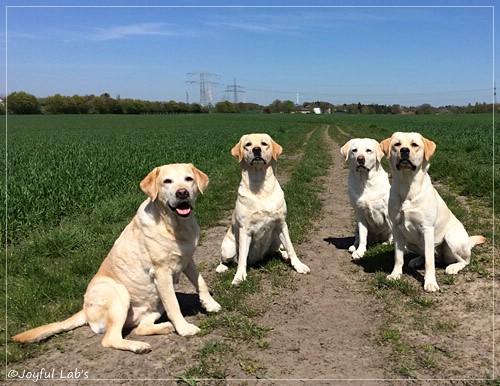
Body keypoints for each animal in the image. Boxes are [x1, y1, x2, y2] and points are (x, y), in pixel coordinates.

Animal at [13, 163, 221, 352]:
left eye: (189, 179)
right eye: (167, 181)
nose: (182, 193)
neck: (176, 225)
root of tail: (84, 309)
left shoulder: (187, 260)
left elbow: (200, 282)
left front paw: (210, 305)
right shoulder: (162, 273)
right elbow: (174, 305)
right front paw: (185, 328)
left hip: (154, 305)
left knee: (140, 328)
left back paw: (164, 327)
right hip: (119, 293)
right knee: (110, 339)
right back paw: (139, 346)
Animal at [217, 134, 310, 284]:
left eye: (264, 144)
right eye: (248, 144)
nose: (256, 150)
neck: (260, 186)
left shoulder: (281, 224)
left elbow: (291, 247)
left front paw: (298, 265)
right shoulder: (244, 230)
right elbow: (242, 258)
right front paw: (239, 276)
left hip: (276, 239)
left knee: (279, 249)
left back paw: (284, 255)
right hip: (227, 248)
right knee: (226, 259)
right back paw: (221, 267)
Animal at [380, 133, 486, 292]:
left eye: (415, 145)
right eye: (397, 144)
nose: (404, 150)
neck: (407, 187)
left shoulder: (427, 229)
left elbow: (430, 262)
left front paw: (430, 283)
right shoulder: (397, 229)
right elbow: (398, 257)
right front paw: (395, 275)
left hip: (452, 236)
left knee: (464, 260)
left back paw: (453, 267)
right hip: (410, 242)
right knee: (428, 255)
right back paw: (416, 260)